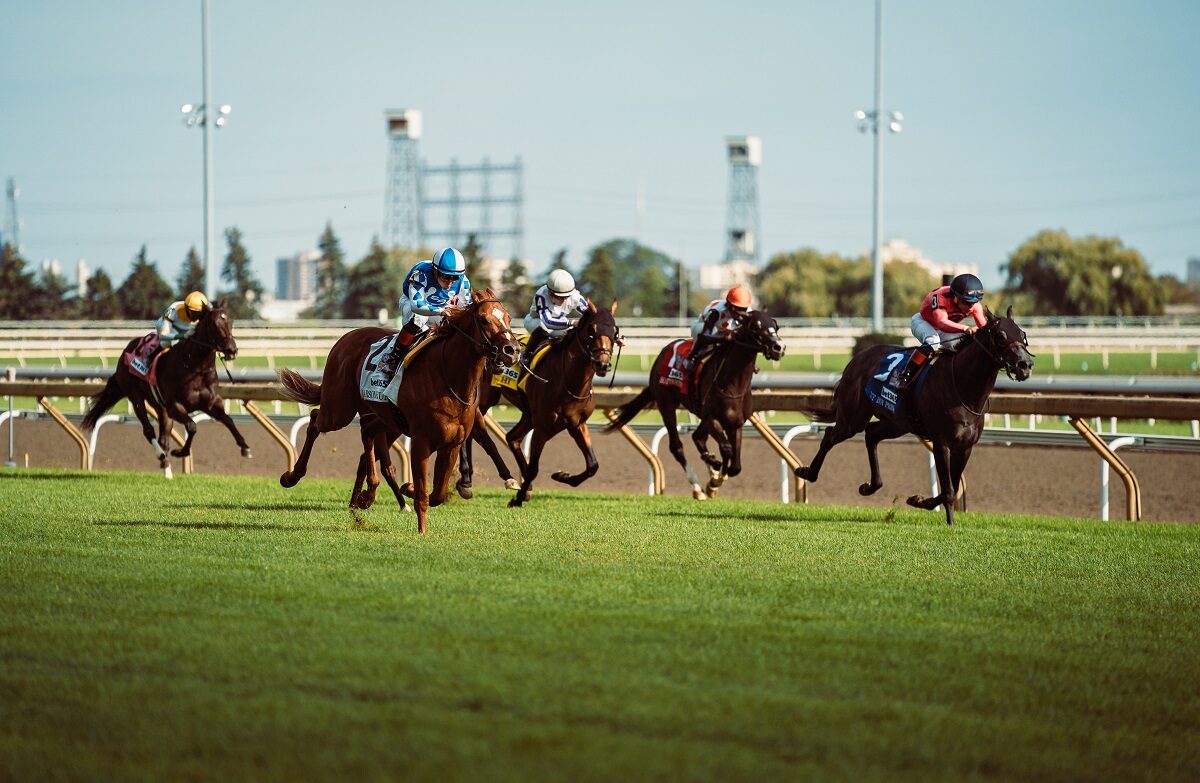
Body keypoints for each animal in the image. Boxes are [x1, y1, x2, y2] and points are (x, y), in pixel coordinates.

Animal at [81, 300, 250, 477]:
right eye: (214, 323)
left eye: (231, 322)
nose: (232, 350)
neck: (195, 367)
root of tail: (125, 352)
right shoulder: (174, 406)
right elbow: (192, 426)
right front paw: (181, 452)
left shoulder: (210, 404)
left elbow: (228, 420)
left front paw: (245, 447)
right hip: (135, 397)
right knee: (148, 430)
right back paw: (161, 455)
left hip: (160, 407)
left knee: (164, 437)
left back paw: (167, 470)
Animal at [276, 290, 520, 535]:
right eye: (483, 319)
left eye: (508, 317)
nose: (512, 351)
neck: (450, 378)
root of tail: (346, 338)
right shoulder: (421, 441)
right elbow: (423, 493)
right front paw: (422, 530)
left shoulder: (452, 443)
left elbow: (438, 493)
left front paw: (408, 489)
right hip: (339, 409)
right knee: (315, 420)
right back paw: (292, 476)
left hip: (384, 419)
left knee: (367, 433)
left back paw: (363, 499)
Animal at [456, 300, 624, 506]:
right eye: (592, 330)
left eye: (615, 332)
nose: (603, 364)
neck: (568, 381)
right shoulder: (542, 427)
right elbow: (533, 468)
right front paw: (517, 499)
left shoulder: (577, 424)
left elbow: (593, 465)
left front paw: (562, 476)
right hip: (485, 400)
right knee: (472, 433)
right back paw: (466, 480)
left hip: (528, 414)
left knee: (512, 438)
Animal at [600, 309, 787, 499]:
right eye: (755, 326)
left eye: (775, 325)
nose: (778, 347)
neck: (733, 385)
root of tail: (663, 353)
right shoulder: (712, 418)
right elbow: (726, 449)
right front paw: (715, 480)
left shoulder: (736, 424)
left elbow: (736, 466)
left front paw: (715, 475)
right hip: (666, 403)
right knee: (677, 446)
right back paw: (698, 486)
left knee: (698, 437)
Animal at [792, 306, 1036, 526]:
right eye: (1001, 336)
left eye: (1022, 334)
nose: (1025, 364)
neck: (962, 386)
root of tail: (856, 359)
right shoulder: (941, 442)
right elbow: (948, 488)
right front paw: (950, 522)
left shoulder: (966, 446)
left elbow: (953, 487)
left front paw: (918, 500)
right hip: (853, 417)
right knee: (830, 435)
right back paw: (807, 472)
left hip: (897, 422)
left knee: (871, 434)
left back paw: (870, 486)